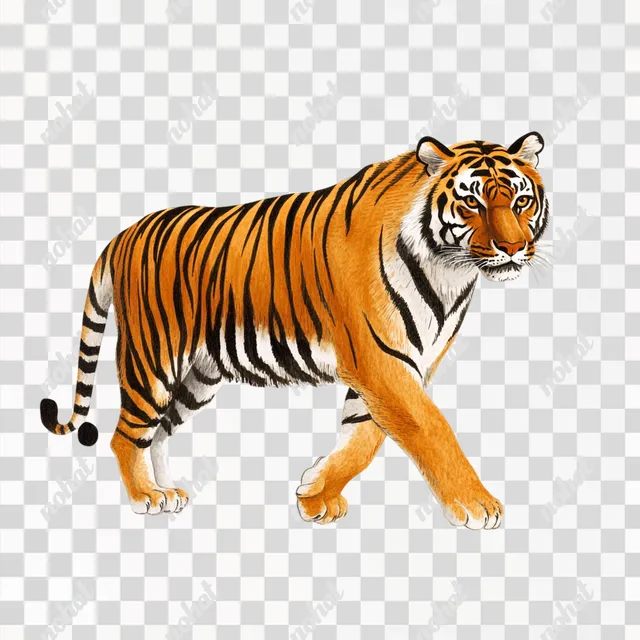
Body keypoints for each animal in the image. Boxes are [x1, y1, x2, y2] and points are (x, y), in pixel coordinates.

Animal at [40, 132, 549, 530]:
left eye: (521, 200)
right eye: (472, 201)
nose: (512, 248)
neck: (449, 272)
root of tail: (122, 235)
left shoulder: (398, 366)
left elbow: (362, 438)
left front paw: (316, 493)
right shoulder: (380, 361)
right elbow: (431, 429)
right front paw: (477, 504)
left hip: (199, 376)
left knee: (161, 431)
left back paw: (168, 490)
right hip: (154, 359)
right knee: (126, 434)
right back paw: (146, 497)